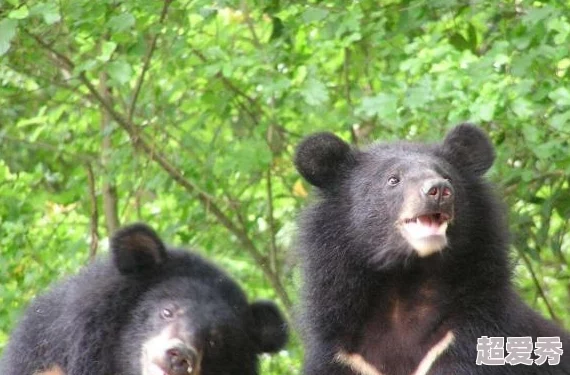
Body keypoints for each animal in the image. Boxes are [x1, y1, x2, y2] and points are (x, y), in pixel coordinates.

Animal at [292, 125, 568, 375]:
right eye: (393, 179)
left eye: (447, 177)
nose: (439, 191)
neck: (404, 284)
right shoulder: (344, 357)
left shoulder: (466, 340)